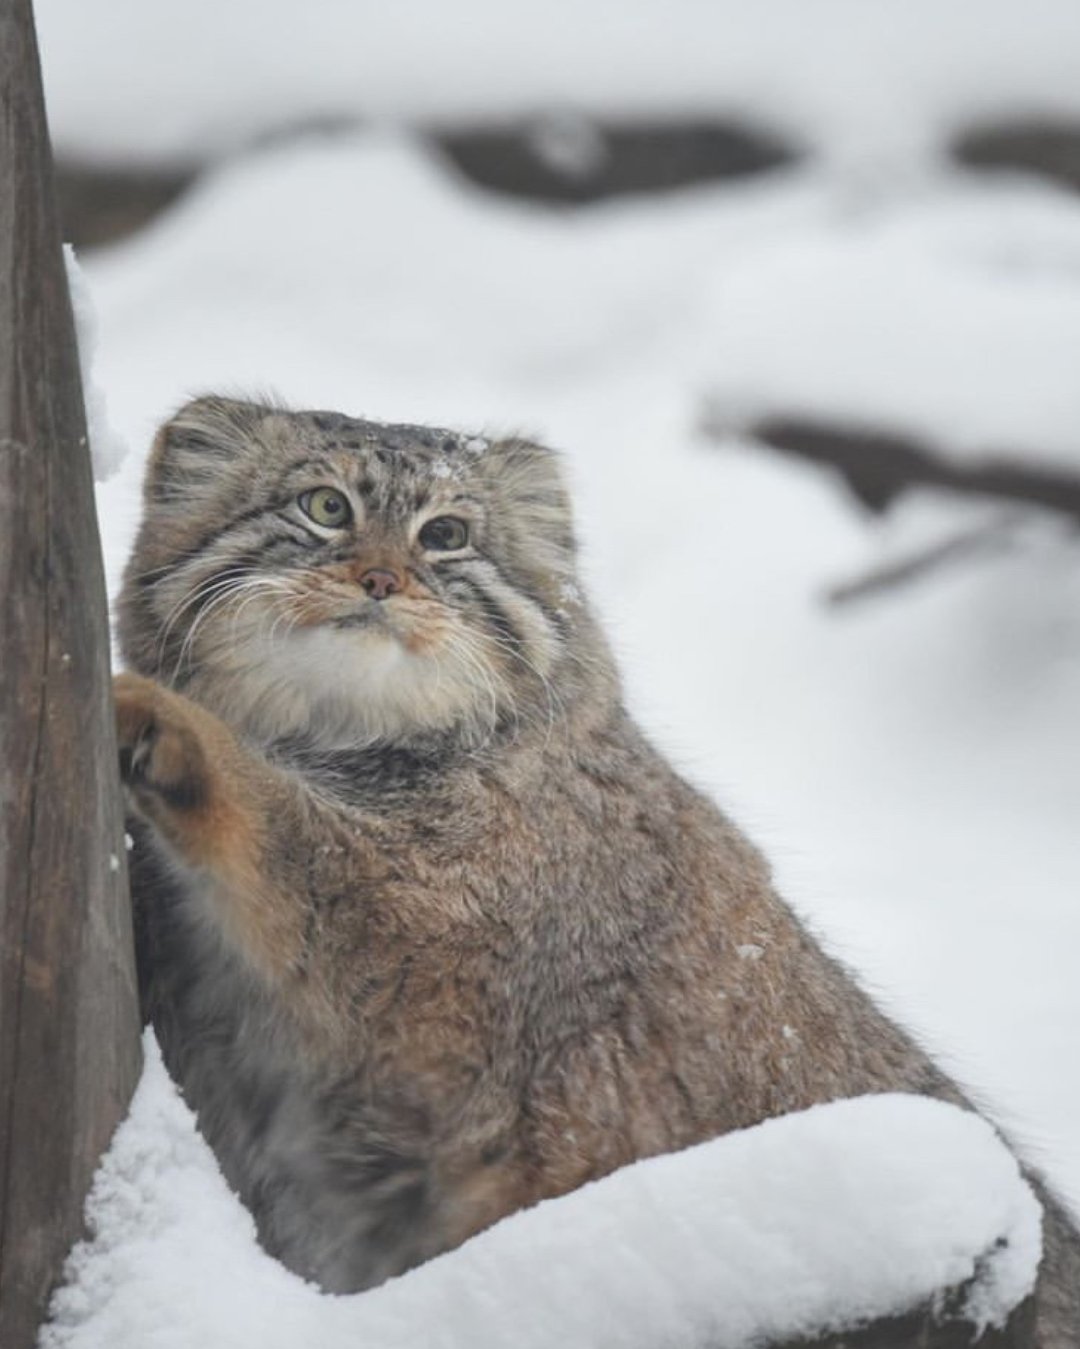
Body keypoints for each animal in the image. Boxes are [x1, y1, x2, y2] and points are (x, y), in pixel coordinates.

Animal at [120, 393, 1078, 1332]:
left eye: (446, 534)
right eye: (324, 508)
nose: (382, 579)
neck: (355, 746)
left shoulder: (440, 960)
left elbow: (289, 837)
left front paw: (172, 727)